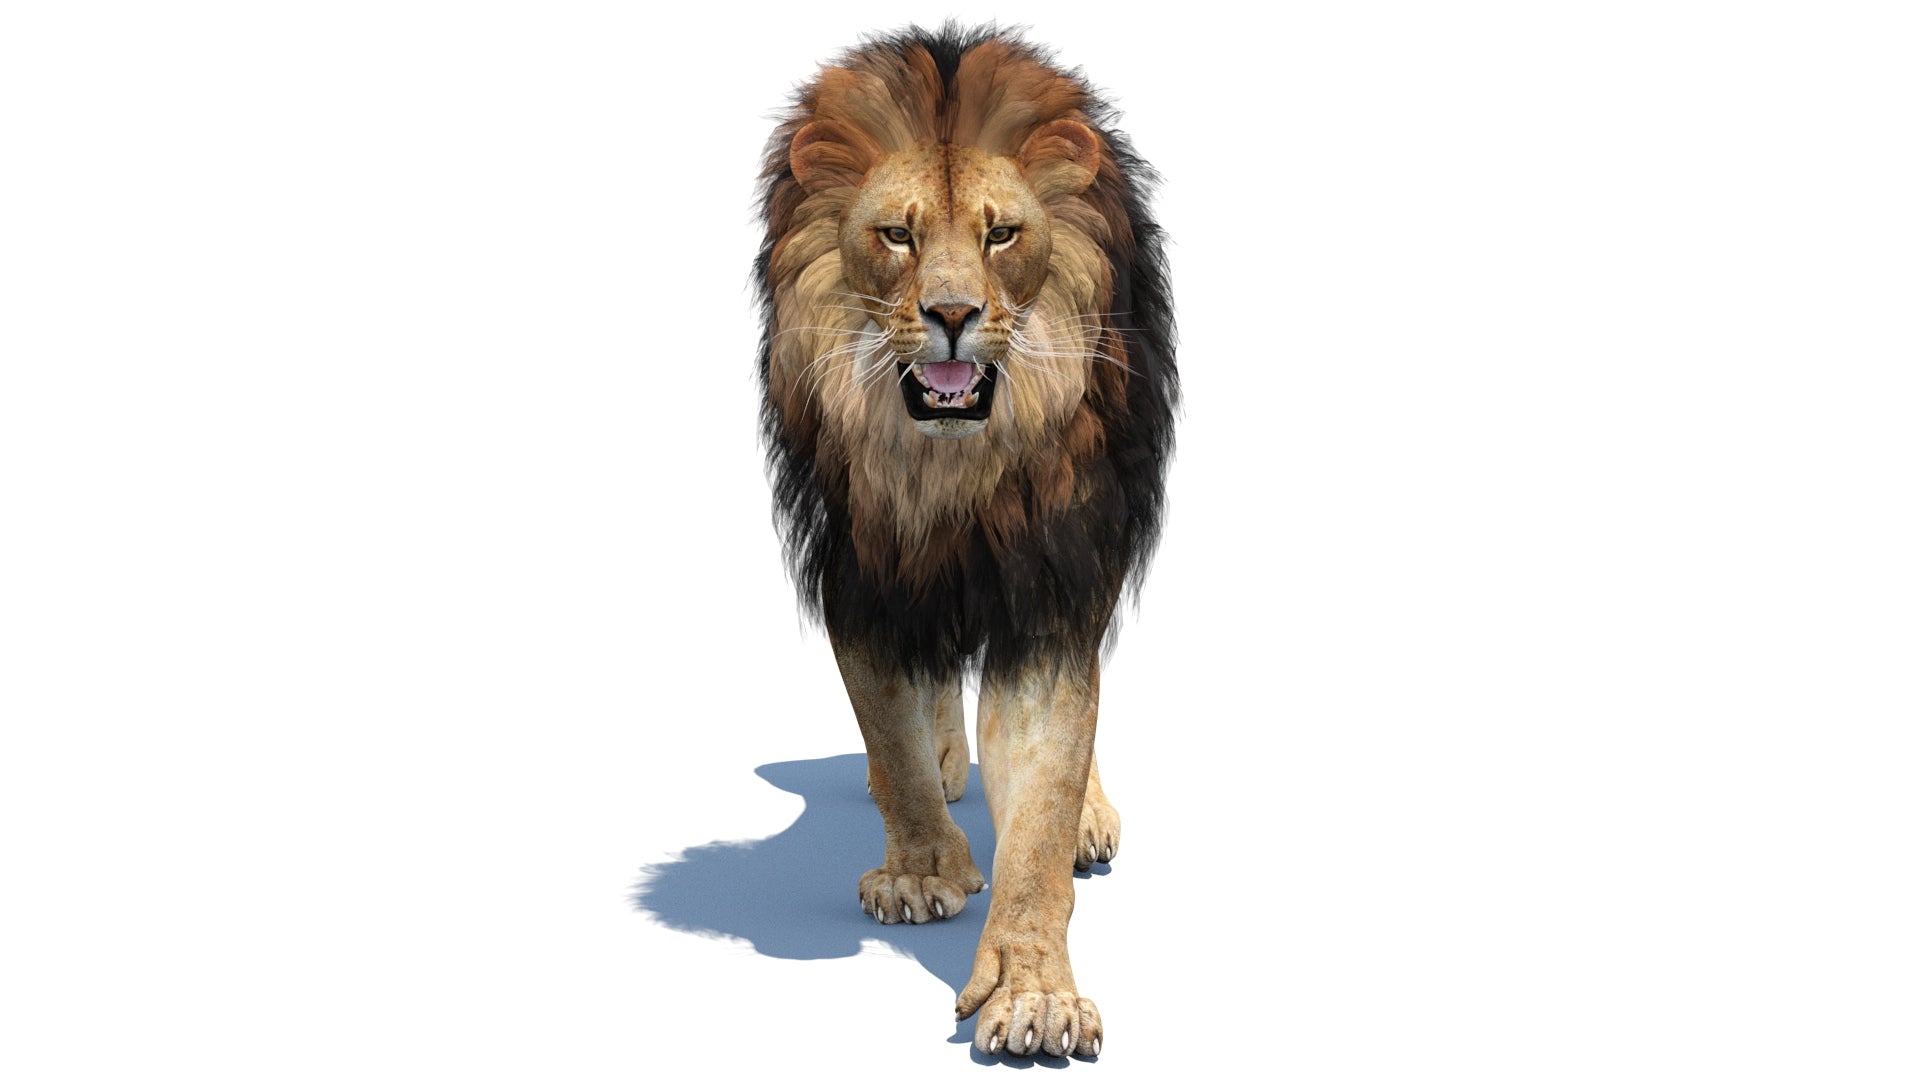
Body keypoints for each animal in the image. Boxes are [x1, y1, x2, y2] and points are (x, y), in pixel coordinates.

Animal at [755, 25, 1176, 1058]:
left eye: (1001, 234)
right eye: (897, 235)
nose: (952, 315)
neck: (949, 474)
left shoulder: (1054, 582)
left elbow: (1043, 792)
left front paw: (1034, 995)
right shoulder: (863, 568)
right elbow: (889, 725)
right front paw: (922, 869)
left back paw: (1091, 818)